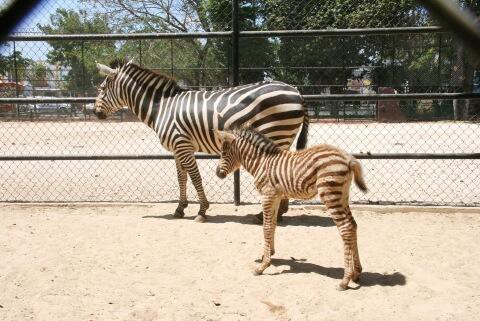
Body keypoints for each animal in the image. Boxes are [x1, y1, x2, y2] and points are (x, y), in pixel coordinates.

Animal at [94, 58, 310, 221]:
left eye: (102, 89)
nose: (96, 113)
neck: (162, 108)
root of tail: (296, 91)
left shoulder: (182, 143)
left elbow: (195, 177)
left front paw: (202, 210)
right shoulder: (177, 148)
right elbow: (181, 177)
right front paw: (180, 208)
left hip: (276, 133)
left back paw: (269, 214)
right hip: (283, 137)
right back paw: (280, 213)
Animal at [214, 128, 368, 290]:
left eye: (223, 152)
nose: (217, 173)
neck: (261, 162)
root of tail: (348, 158)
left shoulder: (267, 195)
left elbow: (266, 227)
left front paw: (262, 266)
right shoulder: (276, 196)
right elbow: (273, 225)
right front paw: (269, 254)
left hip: (330, 194)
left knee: (346, 228)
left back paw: (345, 280)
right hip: (343, 195)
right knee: (353, 225)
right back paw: (357, 273)